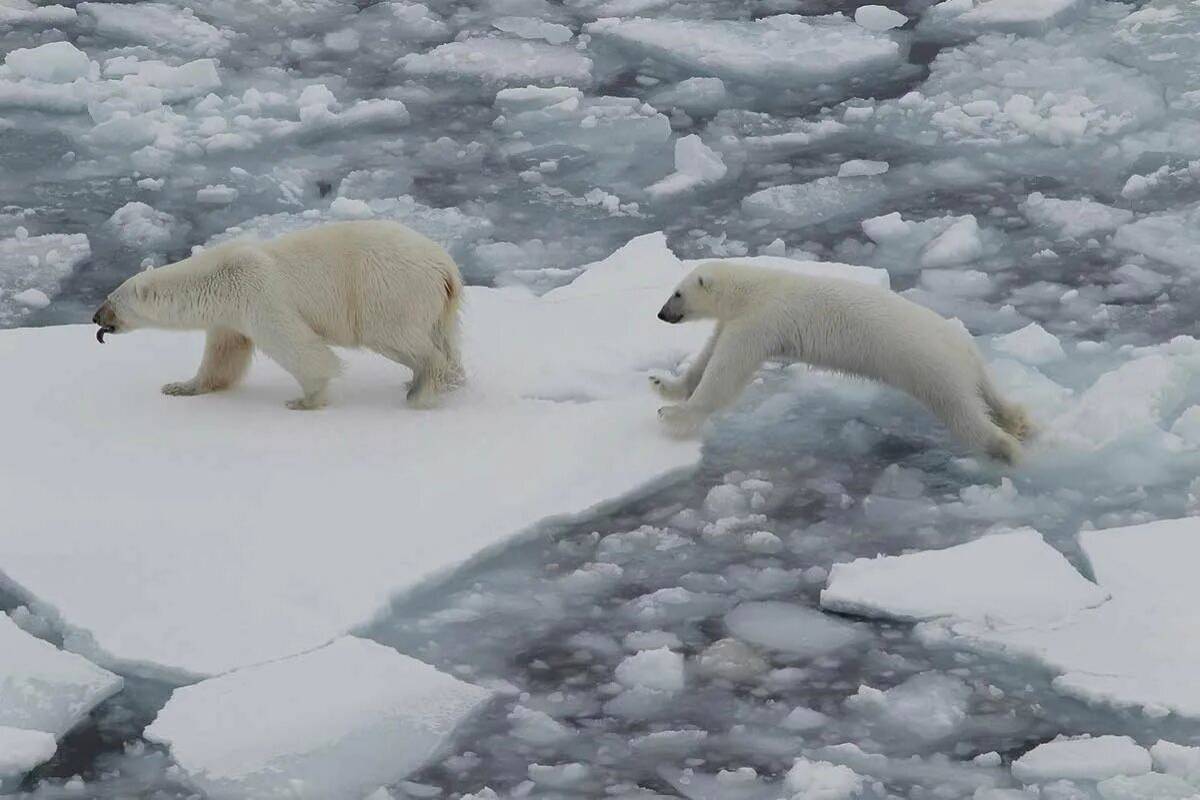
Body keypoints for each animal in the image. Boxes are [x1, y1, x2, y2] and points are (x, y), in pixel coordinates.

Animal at [92, 219, 463, 410]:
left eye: (111, 300)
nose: (95, 318)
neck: (216, 276)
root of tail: (445, 266)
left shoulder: (256, 292)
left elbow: (297, 345)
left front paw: (305, 400)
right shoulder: (228, 316)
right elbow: (222, 357)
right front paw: (179, 386)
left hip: (389, 291)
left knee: (400, 338)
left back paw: (422, 390)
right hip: (438, 305)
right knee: (446, 339)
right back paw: (444, 380)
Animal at [652, 262, 1036, 462]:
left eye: (677, 293)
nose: (661, 314)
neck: (752, 289)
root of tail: (963, 349)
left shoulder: (761, 321)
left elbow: (725, 373)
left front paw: (673, 415)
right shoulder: (737, 320)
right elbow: (708, 355)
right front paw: (664, 385)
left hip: (932, 370)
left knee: (962, 413)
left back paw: (1007, 449)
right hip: (962, 363)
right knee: (989, 394)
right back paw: (1018, 422)